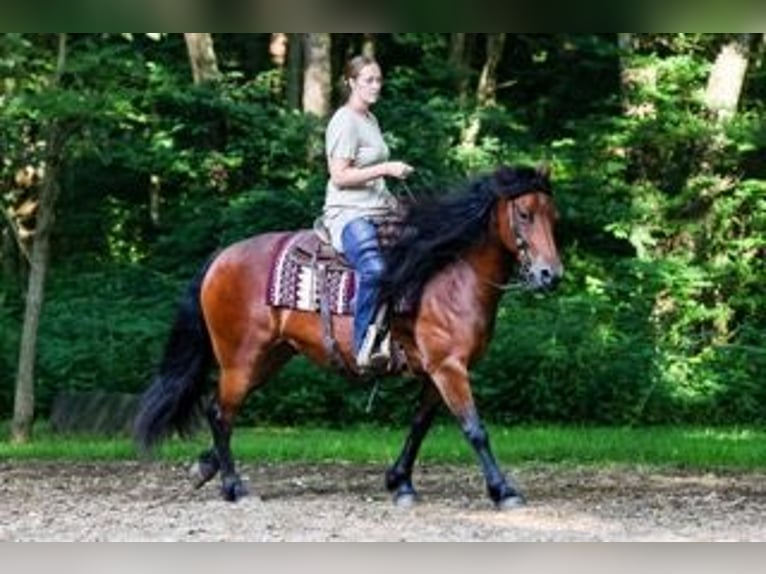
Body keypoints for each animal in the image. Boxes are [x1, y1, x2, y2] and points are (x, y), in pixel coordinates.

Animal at [134, 164, 563, 509]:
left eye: (553, 216)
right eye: (524, 214)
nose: (550, 275)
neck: (448, 275)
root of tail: (220, 257)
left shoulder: (436, 372)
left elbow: (419, 425)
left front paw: (399, 482)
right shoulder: (449, 368)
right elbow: (475, 429)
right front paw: (504, 491)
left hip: (268, 359)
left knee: (220, 411)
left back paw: (206, 467)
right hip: (240, 360)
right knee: (220, 413)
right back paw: (233, 487)